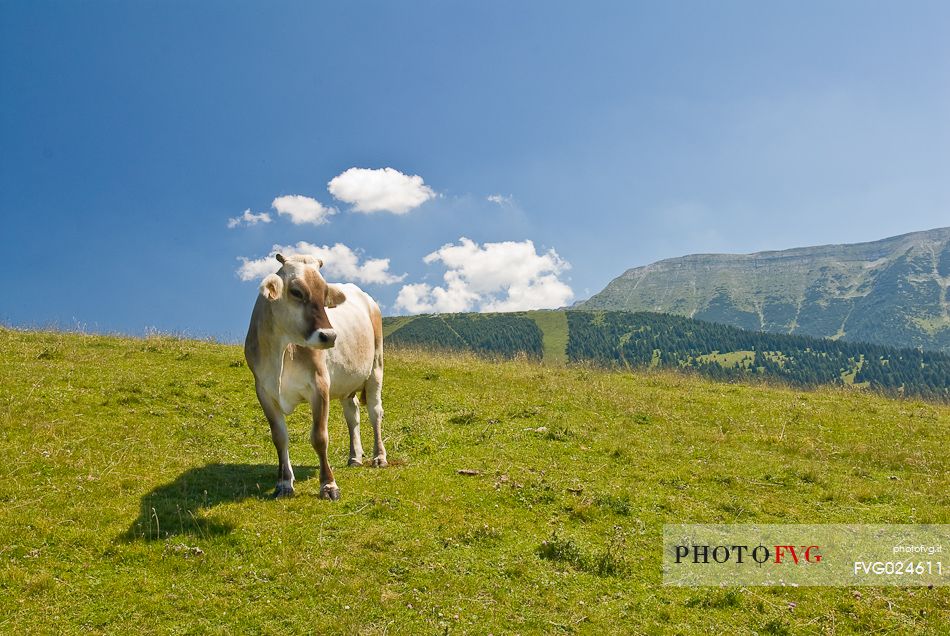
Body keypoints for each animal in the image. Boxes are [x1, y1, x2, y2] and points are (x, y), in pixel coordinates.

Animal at [244, 251, 388, 500]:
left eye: (324, 294)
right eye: (296, 292)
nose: (329, 336)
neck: (282, 351)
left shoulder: (320, 384)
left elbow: (320, 438)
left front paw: (328, 485)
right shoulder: (263, 390)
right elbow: (279, 437)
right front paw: (284, 483)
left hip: (375, 367)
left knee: (375, 412)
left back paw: (379, 457)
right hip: (347, 381)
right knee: (353, 414)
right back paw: (354, 457)